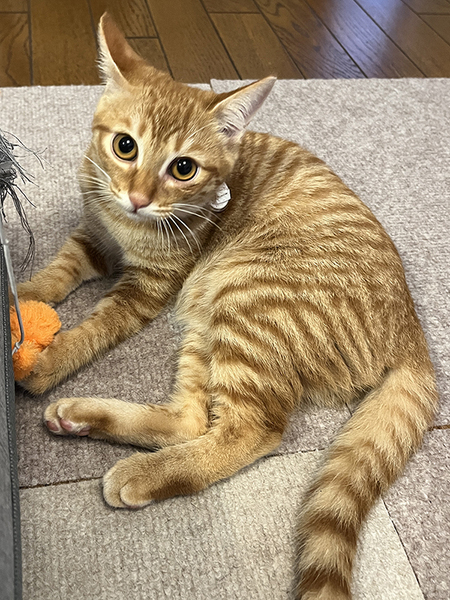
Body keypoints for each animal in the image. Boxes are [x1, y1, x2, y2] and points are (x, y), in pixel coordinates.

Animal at [17, 13, 438, 600]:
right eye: (125, 146)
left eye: (184, 168)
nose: (139, 199)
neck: (125, 228)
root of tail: (411, 328)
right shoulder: (92, 240)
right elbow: (53, 276)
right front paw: (23, 297)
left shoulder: (147, 287)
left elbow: (93, 328)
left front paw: (46, 358)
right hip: (207, 321)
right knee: (191, 419)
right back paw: (85, 418)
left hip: (246, 305)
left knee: (250, 431)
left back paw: (140, 473)